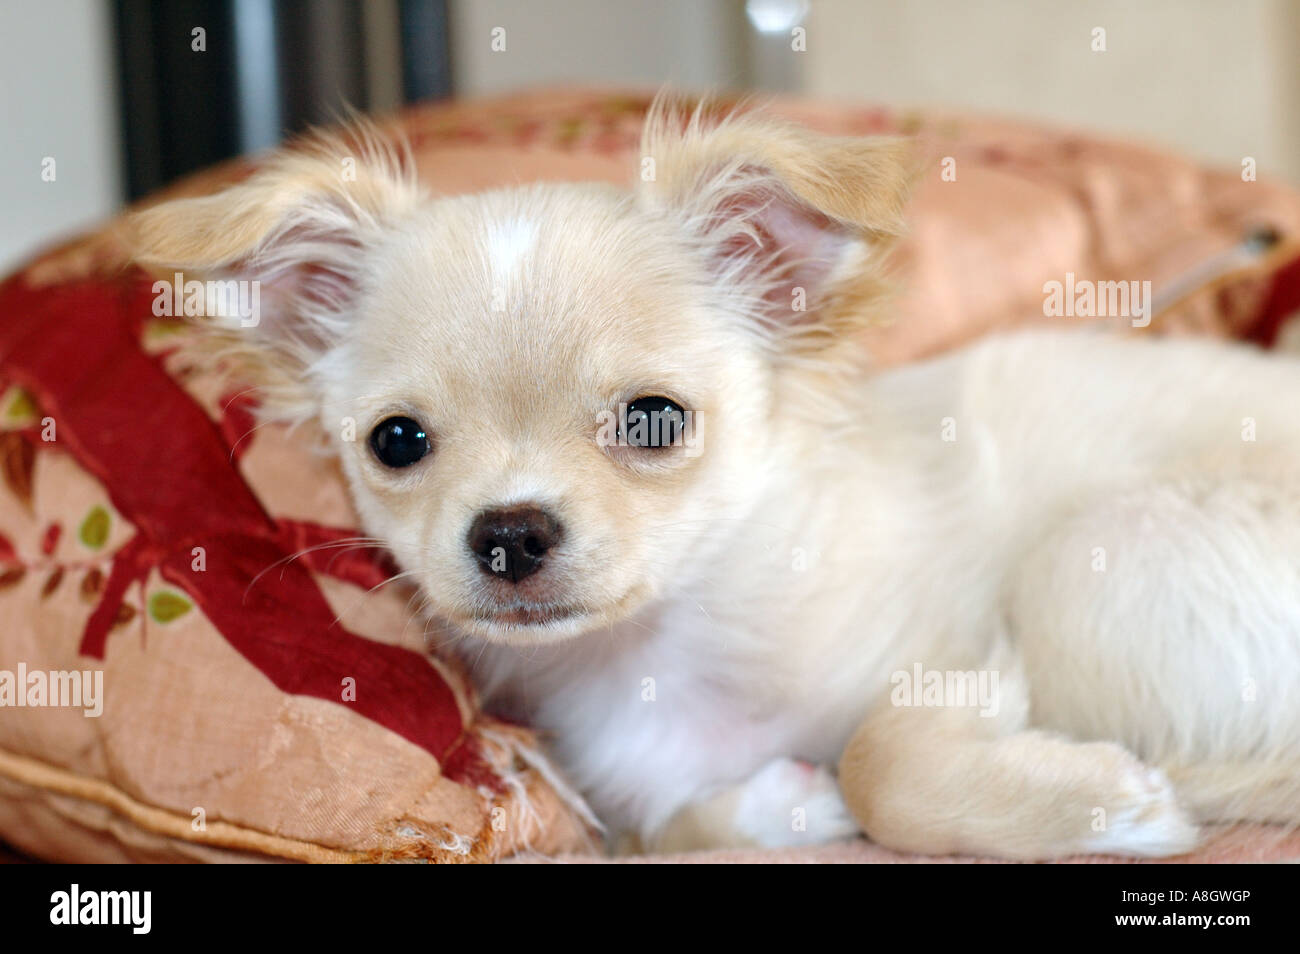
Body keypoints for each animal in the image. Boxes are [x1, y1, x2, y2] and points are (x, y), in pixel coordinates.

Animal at [129, 102, 1300, 857]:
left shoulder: (963, 649)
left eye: (653, 419)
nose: (508, 533)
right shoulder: (636, 796)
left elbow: (879, 759)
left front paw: (1112, 811)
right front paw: (782, 807)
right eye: (398, 442)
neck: (663, 648)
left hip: (1087, 563)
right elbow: (680, 823)